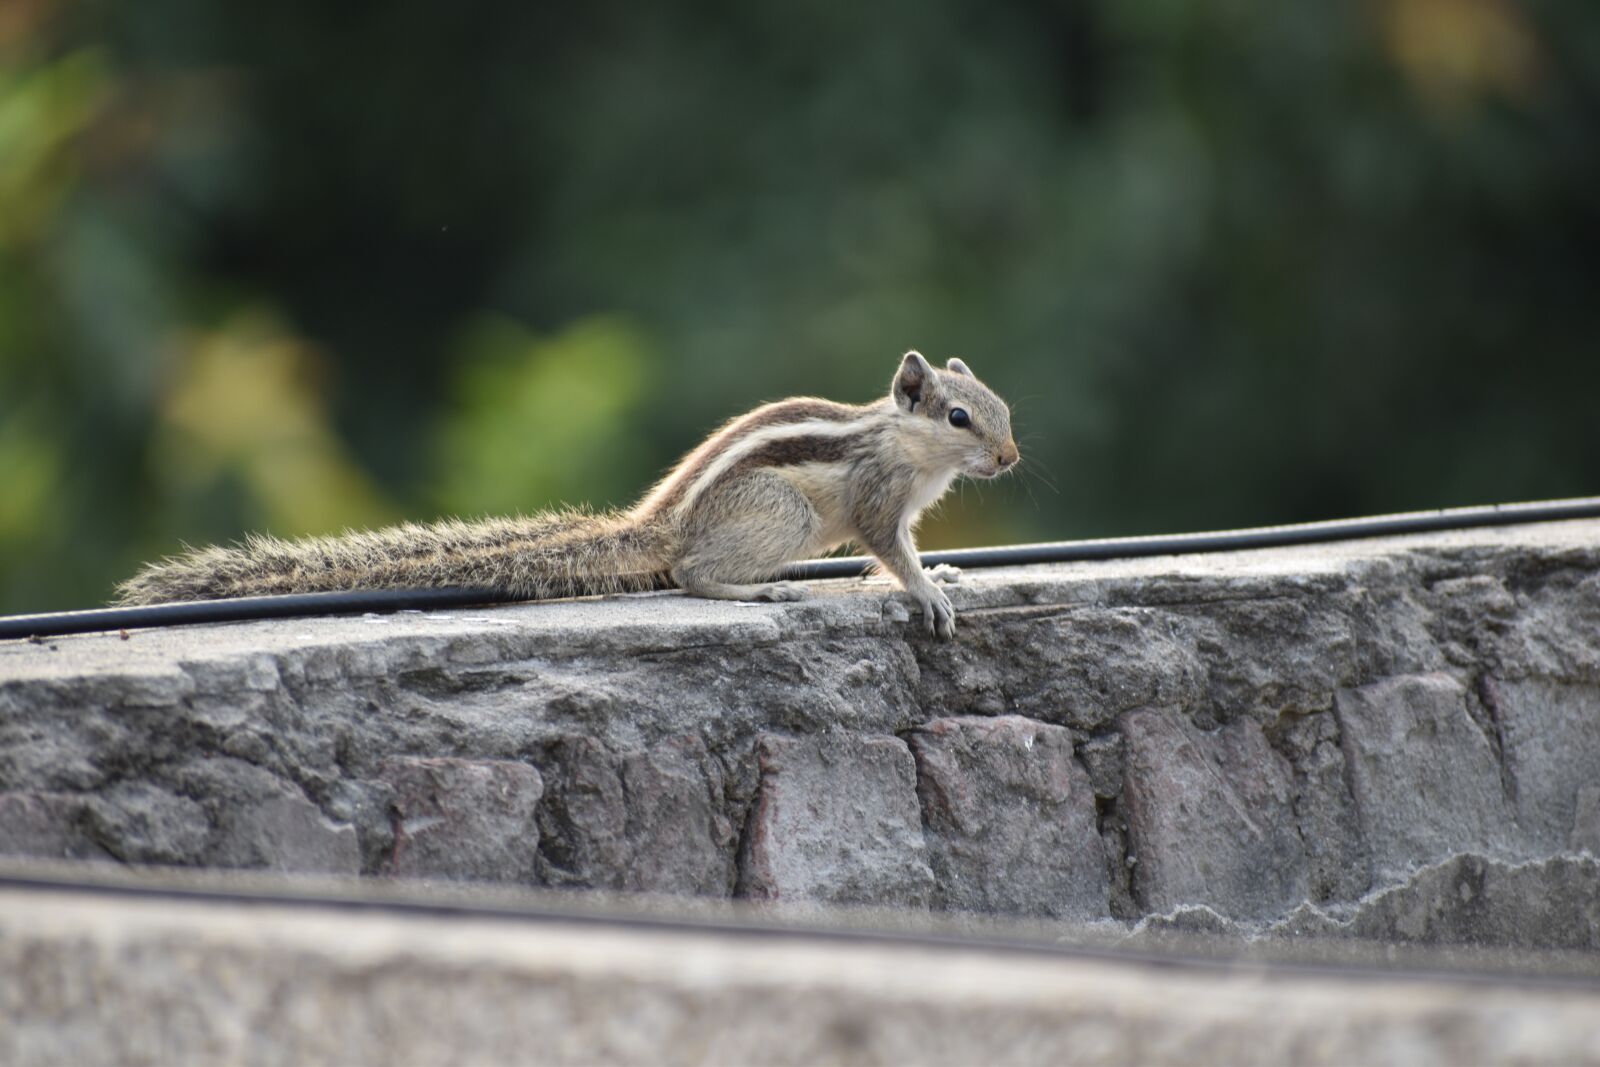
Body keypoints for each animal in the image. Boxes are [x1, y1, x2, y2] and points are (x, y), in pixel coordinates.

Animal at [116, 351, 1019, 638]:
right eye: (960, 416)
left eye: (1005, 410)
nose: (1011, 457)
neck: (908, 447)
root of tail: (655, 524)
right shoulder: (874, 498)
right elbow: (887, 549)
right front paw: (926, 593)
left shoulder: (901, 508)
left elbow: (899, 554)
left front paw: (943, 574)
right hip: (783, 512)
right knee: (688, 573)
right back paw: (755, 588)